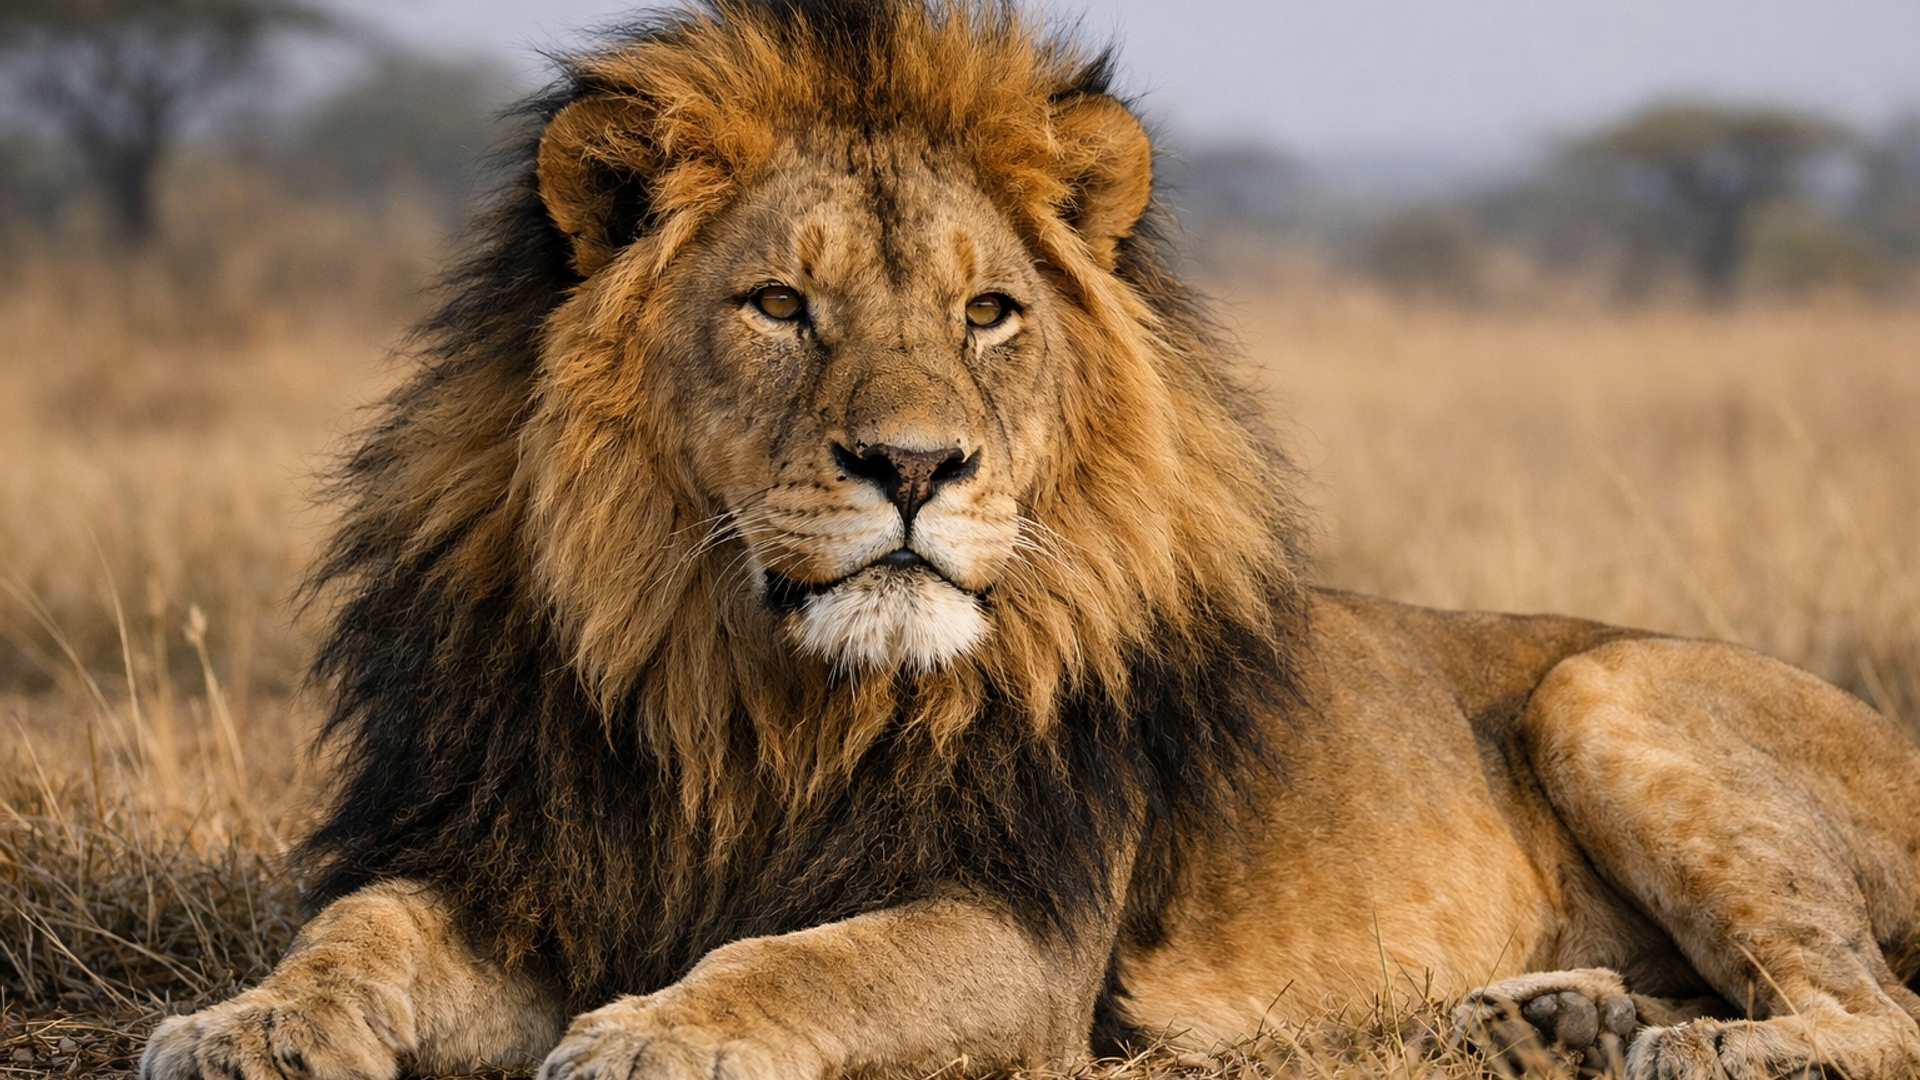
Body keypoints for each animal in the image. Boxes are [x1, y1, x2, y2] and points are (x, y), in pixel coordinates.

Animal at [140, 2, 1920, 1079]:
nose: (916, 466)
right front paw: (244, 1023)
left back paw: (1696, 1042)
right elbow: (357, 928)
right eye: (778, 306)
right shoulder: (515, 860)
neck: (748, 698)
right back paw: (1557, 1018)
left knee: (1879, 1006)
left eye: (988, 313)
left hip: (1603, 690)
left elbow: (805, 965)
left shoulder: (1024, 933)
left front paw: (652, 1035)